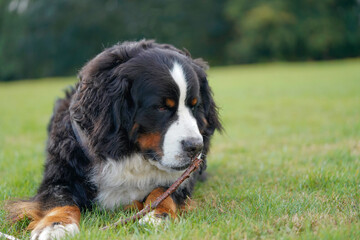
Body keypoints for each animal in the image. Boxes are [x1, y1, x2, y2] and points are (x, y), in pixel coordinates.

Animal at [7, 40, 222, 239]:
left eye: (194, 105)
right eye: (161, 107)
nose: (196, 147)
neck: (127, 152)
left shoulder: (182, 179)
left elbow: (164, 192)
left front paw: (158, 216)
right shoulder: (60, 177)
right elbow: (60, 200)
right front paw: (56, 226)